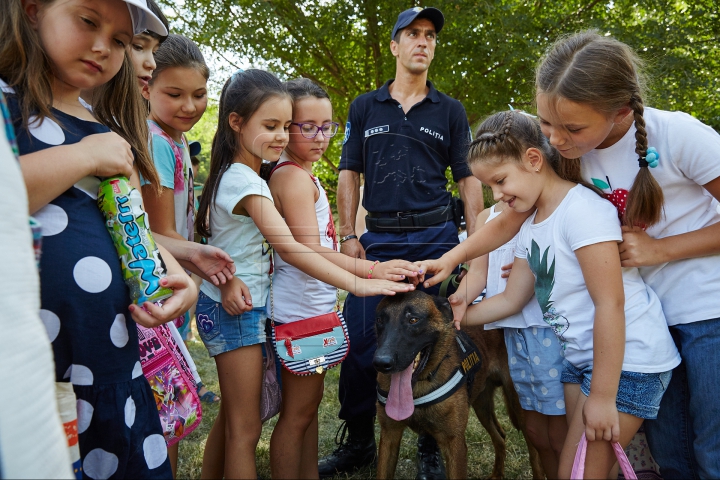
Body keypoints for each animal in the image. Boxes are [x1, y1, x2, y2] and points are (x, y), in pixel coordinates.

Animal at [374, 290, 544, 478]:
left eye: (413, 320)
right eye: (379, 320)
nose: (381, 362)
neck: (419, 386)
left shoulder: (454, 444)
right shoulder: (389, 436)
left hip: (519, 408)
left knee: (534, 453)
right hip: (482, 406)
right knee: (500, 436)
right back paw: (497, 474)